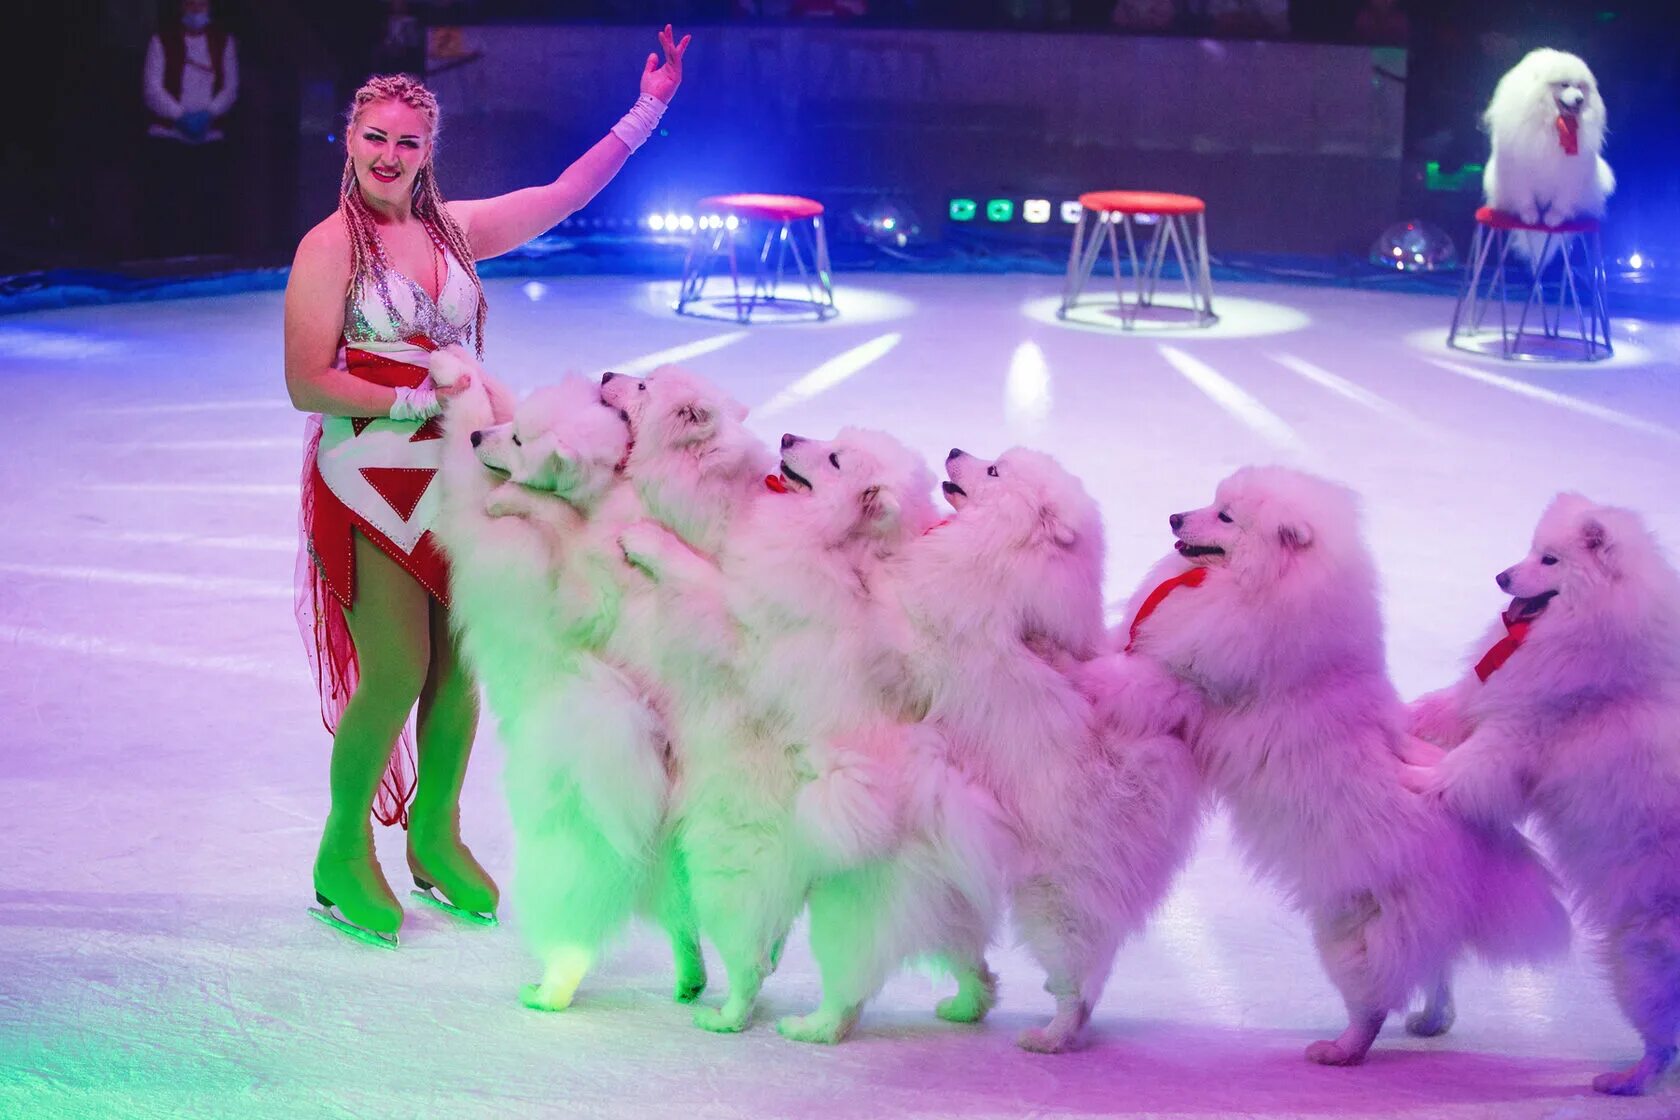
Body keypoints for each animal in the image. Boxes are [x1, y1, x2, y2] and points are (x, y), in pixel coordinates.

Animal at [433, 354, 702, 1020]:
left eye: (518, 442)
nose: (482, 440)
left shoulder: (474, 506)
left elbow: (468, 463)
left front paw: (454, 385)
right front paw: (464, 370)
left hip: (559, 864)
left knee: (572, 940)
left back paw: (545, 995)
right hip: (669, 871)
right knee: (683, 924)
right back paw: (691, 980)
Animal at [893, 446, 1209, 1054]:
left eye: (994, 470)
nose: (953, 450)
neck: (1002, 557)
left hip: (1053, 903)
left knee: (1074, 985)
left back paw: (1046, 1038)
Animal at [1108, 470, 1565, 1067]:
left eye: (1226, 516)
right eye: (1213, 500)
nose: (1174, 518)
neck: (1262, 591)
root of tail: (1475, 837)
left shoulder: (1191, 680)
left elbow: (1136, 675)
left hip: (1352, 929)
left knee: (1376, 999)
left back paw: (1339, 1051)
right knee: (1436, 971)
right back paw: (1430, 1022)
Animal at [1404, 497, 1680, 1094]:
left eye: (1550, 560)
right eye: (1531, 550)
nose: (1501, 577)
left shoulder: (1515, 739)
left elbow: (1461, 770)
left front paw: (1417, 777)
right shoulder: (1488, 700)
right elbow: (1442, 708)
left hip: (1639, 955)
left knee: (1662, 1042)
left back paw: (1621, 1082)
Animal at [1485, 49, 1612, 228]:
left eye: (1579, 86)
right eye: (1564, 85)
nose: (1580, 99)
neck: (1551, 120)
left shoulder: (1571, 171)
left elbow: (1561, 200)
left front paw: (1553, 218)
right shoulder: (1518, 167)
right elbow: (1525, 196)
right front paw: (1529, 216)